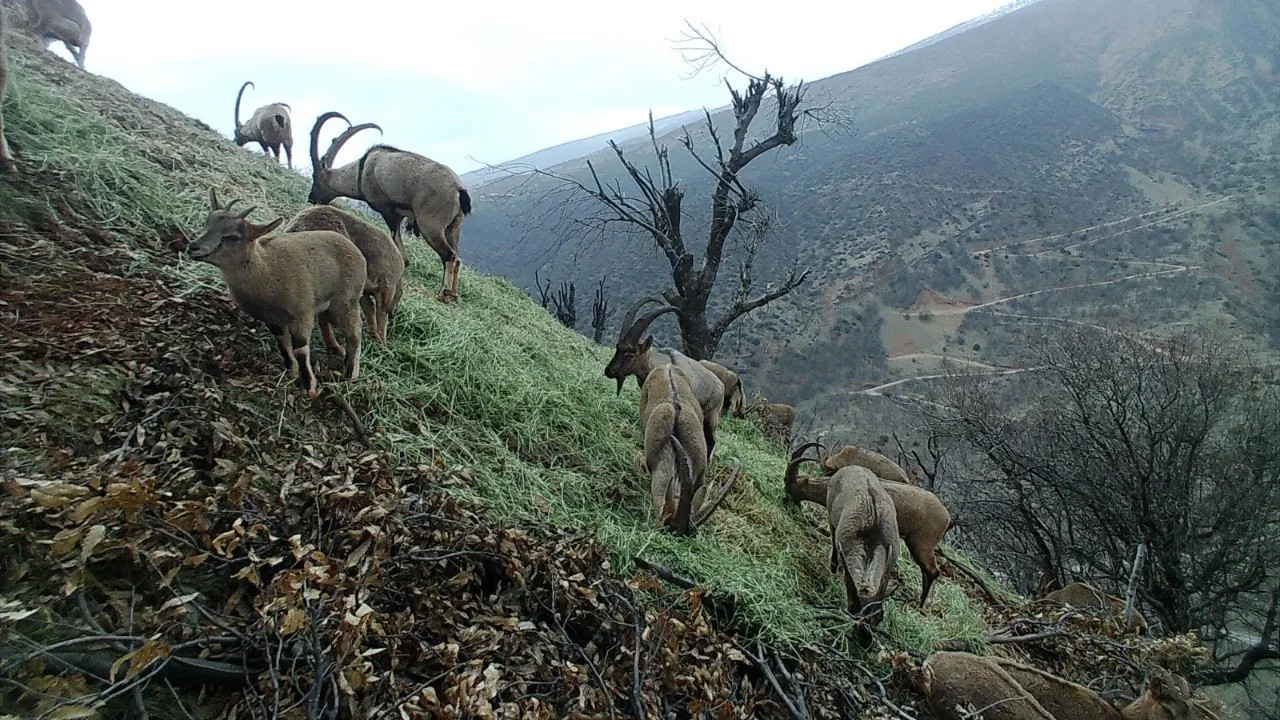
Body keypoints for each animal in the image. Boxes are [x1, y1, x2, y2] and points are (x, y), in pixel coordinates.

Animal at [190, 188, 371, 394]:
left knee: (355, 333)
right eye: (206, 224)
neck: (267, 271)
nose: (192, 247)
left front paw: (310, 387)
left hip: (346, 302)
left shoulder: (302, 314)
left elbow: (301, 349)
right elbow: (282, 343)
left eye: (233, 236)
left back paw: (350, 373)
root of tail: (356, 252)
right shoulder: (272, 320)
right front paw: (291, 372)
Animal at [284, 204, 404, 345]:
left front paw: (376, 339)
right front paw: (382, 343)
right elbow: (380, 312)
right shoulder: (386, 285)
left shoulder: (365, 292)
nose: (393, 313)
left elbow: (370, 310)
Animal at [778, 443, 901, 638]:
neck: (872, 536)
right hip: (831, 517)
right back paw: (833, 566)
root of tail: (852, 467)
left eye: (879, 616)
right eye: (853, 610)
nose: (864, 641)